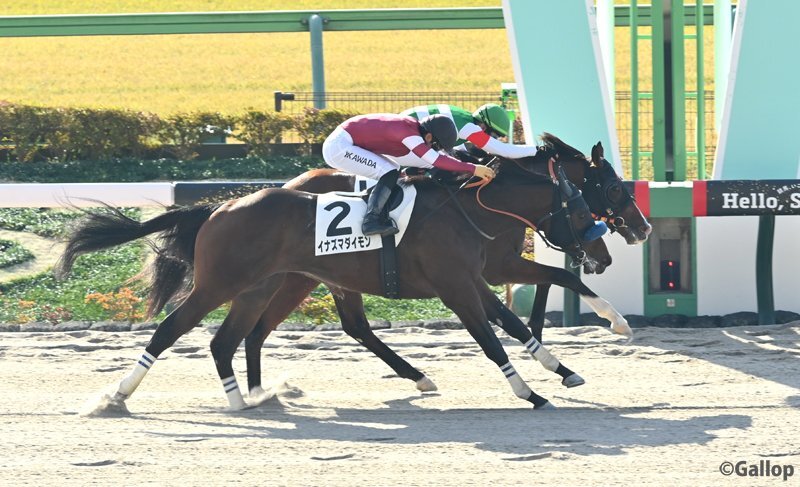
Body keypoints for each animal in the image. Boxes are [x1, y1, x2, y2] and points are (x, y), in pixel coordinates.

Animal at [58, 151, 614, 411]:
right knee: (171, 330)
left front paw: (564, 366)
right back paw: (117, 396)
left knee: (231, 338)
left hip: (262, 286)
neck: (470, 211)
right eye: (584, 205)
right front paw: (531, 392)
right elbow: (490, 338)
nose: (604, 254)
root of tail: (220, 206)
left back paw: (248, 398)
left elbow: (510, 322)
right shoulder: (457, 286)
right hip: (221, 283)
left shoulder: (474, 278)